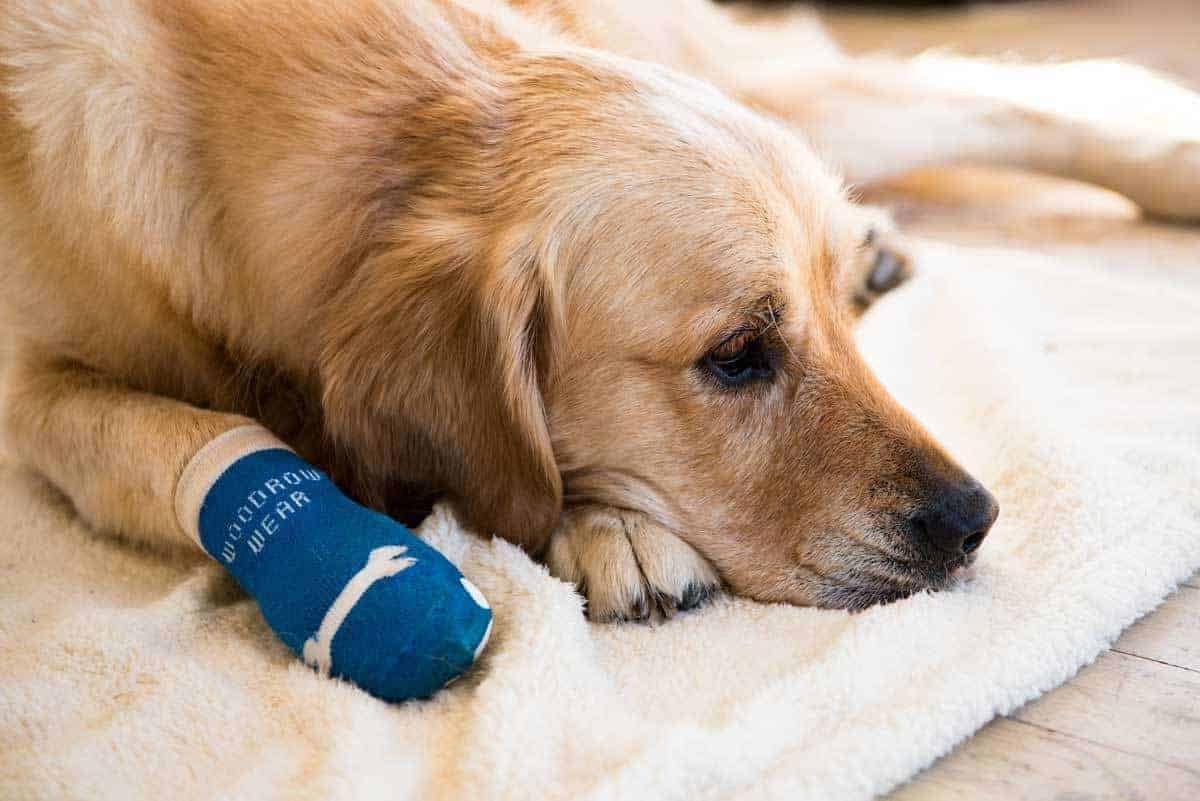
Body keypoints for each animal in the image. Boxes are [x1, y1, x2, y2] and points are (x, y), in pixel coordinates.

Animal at [2, 0, 1196, 622]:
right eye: (738, 354)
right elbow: (201, 436)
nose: (972, 520)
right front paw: (602, 524)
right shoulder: (35, 396)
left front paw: (608, 525)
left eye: (826, 329)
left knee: (998, 94)